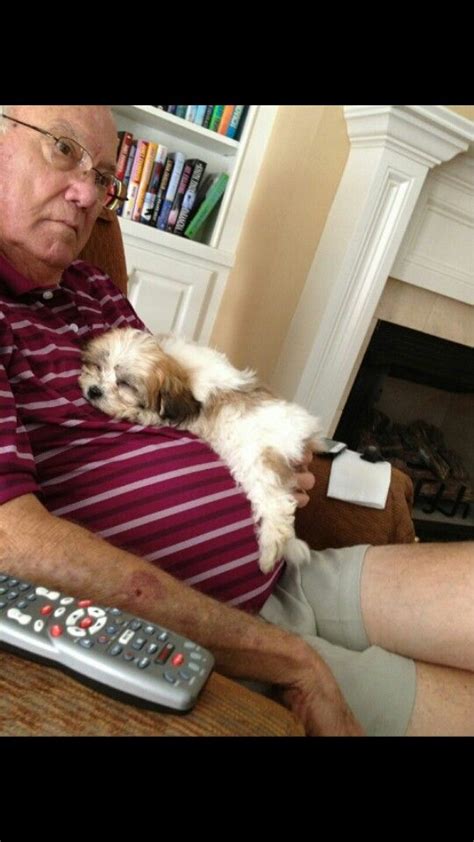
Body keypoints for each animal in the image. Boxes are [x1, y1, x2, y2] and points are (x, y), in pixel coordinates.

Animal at [79, 326, 322, 572]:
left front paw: (136, 412)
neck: (176, 365)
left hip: (260, 462)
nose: (94, 390)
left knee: (277, 506)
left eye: (125, 384)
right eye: (97, 366)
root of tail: (305, 433)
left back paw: (270, 553)